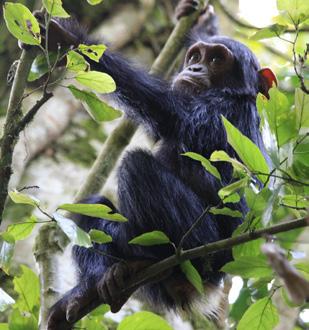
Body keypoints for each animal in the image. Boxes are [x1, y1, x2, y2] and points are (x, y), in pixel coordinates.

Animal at [42, 0, 274, 328]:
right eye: (196, 56)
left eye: (217, 59)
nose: (193, 67)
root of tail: (205, 288)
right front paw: (200, 21)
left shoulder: (221, 111)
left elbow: (168, 112)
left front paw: (66, 37)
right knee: (92, 207)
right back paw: (91, 288)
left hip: (200, 245)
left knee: (136, 166)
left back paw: (147, 261)